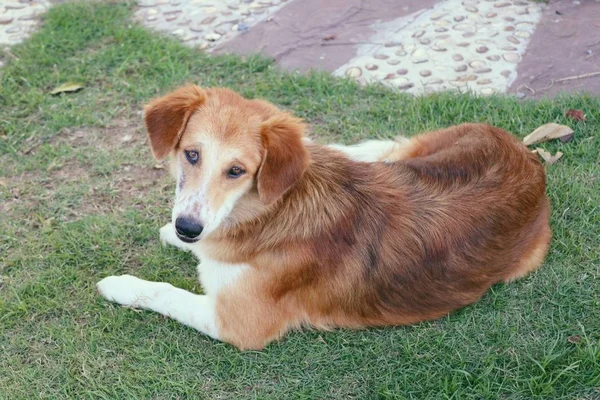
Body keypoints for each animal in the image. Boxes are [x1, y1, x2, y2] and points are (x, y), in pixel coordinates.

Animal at [96, 85, 552, 350]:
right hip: (412, 153)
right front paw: (178, 238)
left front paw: (119, 284)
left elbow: (163, 292)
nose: (187, 228)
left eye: (237, 171)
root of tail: (530, 159)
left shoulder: (237, 324)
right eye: (191, 154)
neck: (269, 210)